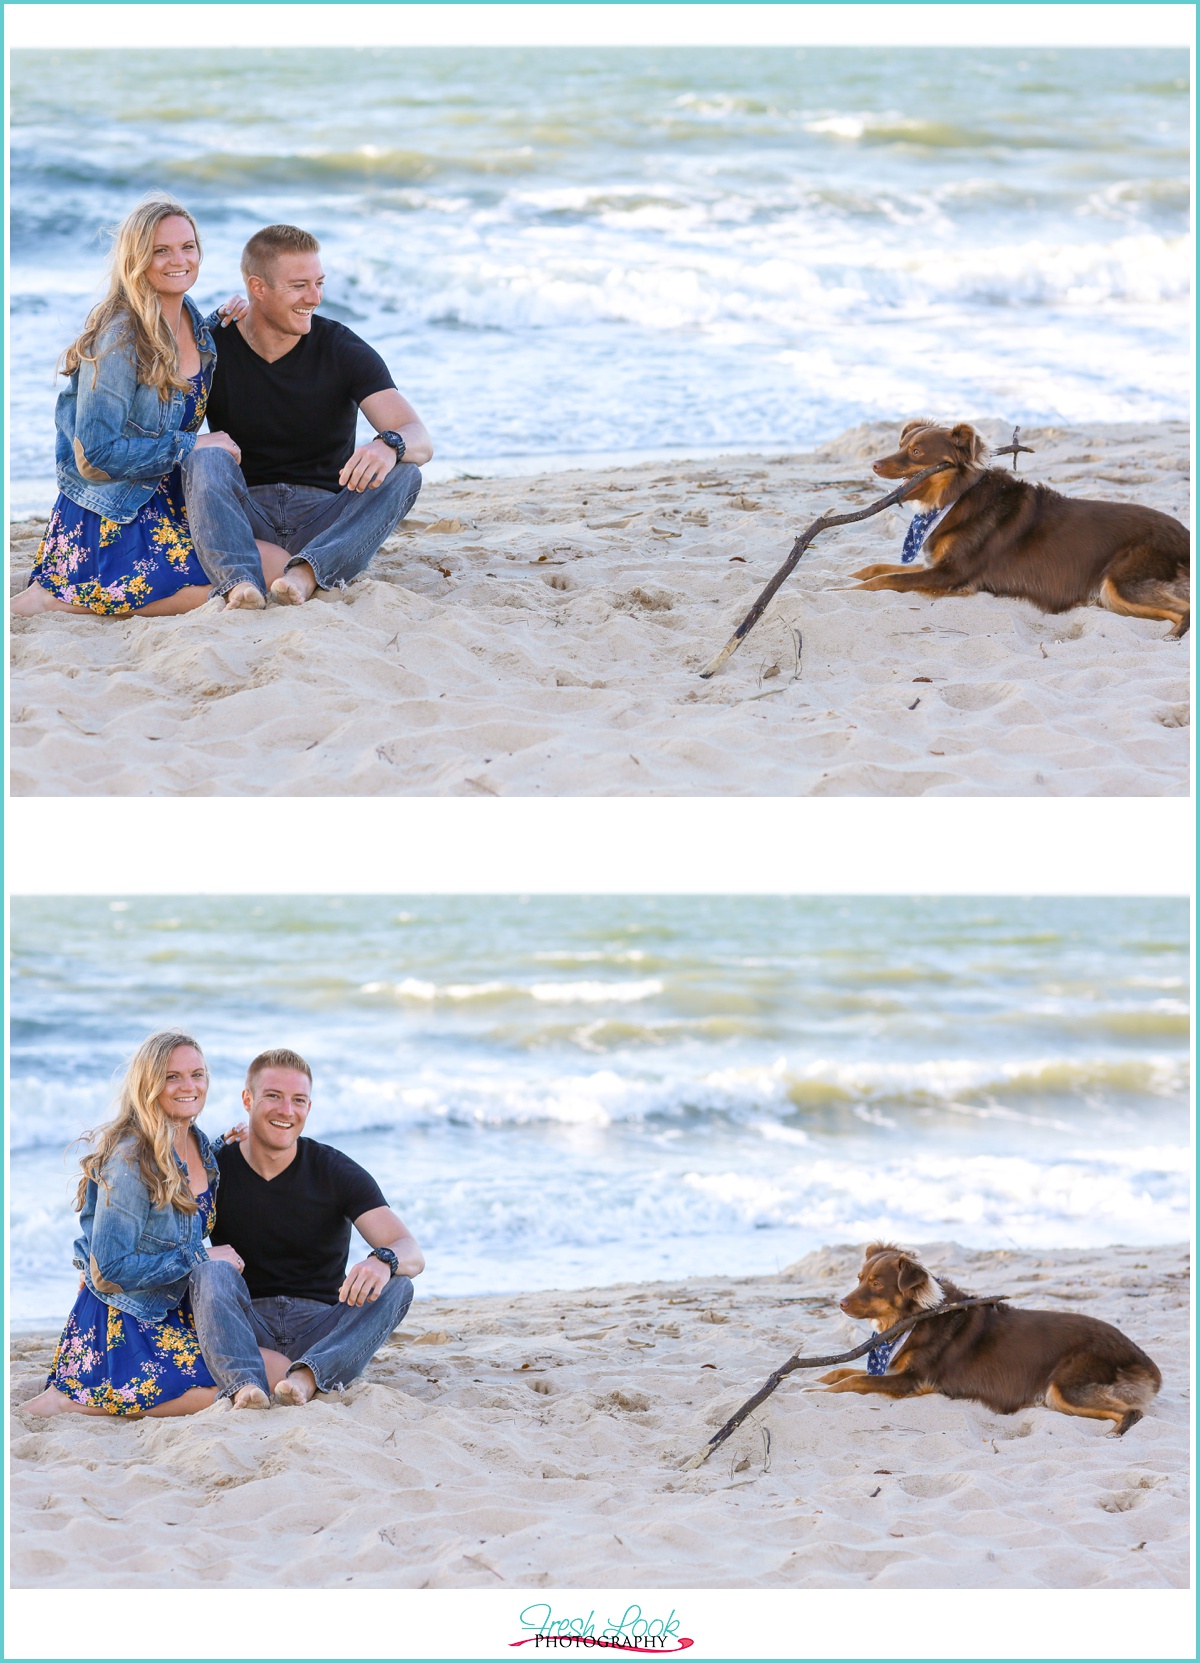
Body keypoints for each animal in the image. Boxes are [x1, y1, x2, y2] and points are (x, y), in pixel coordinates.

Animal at [817, 1243, 1156, 1436]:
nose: (841, 1304)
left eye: (876, 1283)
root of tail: (1143, 1358)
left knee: (1132, 1411)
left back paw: (1116, 1432)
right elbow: (842, 1371)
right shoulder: (894, 1369)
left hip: (1064, 1387)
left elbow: (854, 1380)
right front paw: (817, 1381)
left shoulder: (912, 1380)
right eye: (860, 1279)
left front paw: (818, 1390)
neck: (916, 1317)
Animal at [850, 419, 1190, 638]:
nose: (874, 465)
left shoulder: (952, 574)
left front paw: (845, 590)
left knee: (1184, 609)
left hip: (1118, 582)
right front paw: (849, 576)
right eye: (901, 445)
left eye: (917, 452)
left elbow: (885, 580)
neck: (959, 495)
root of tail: (1184, 536)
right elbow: (877, 568)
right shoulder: (938, 565)